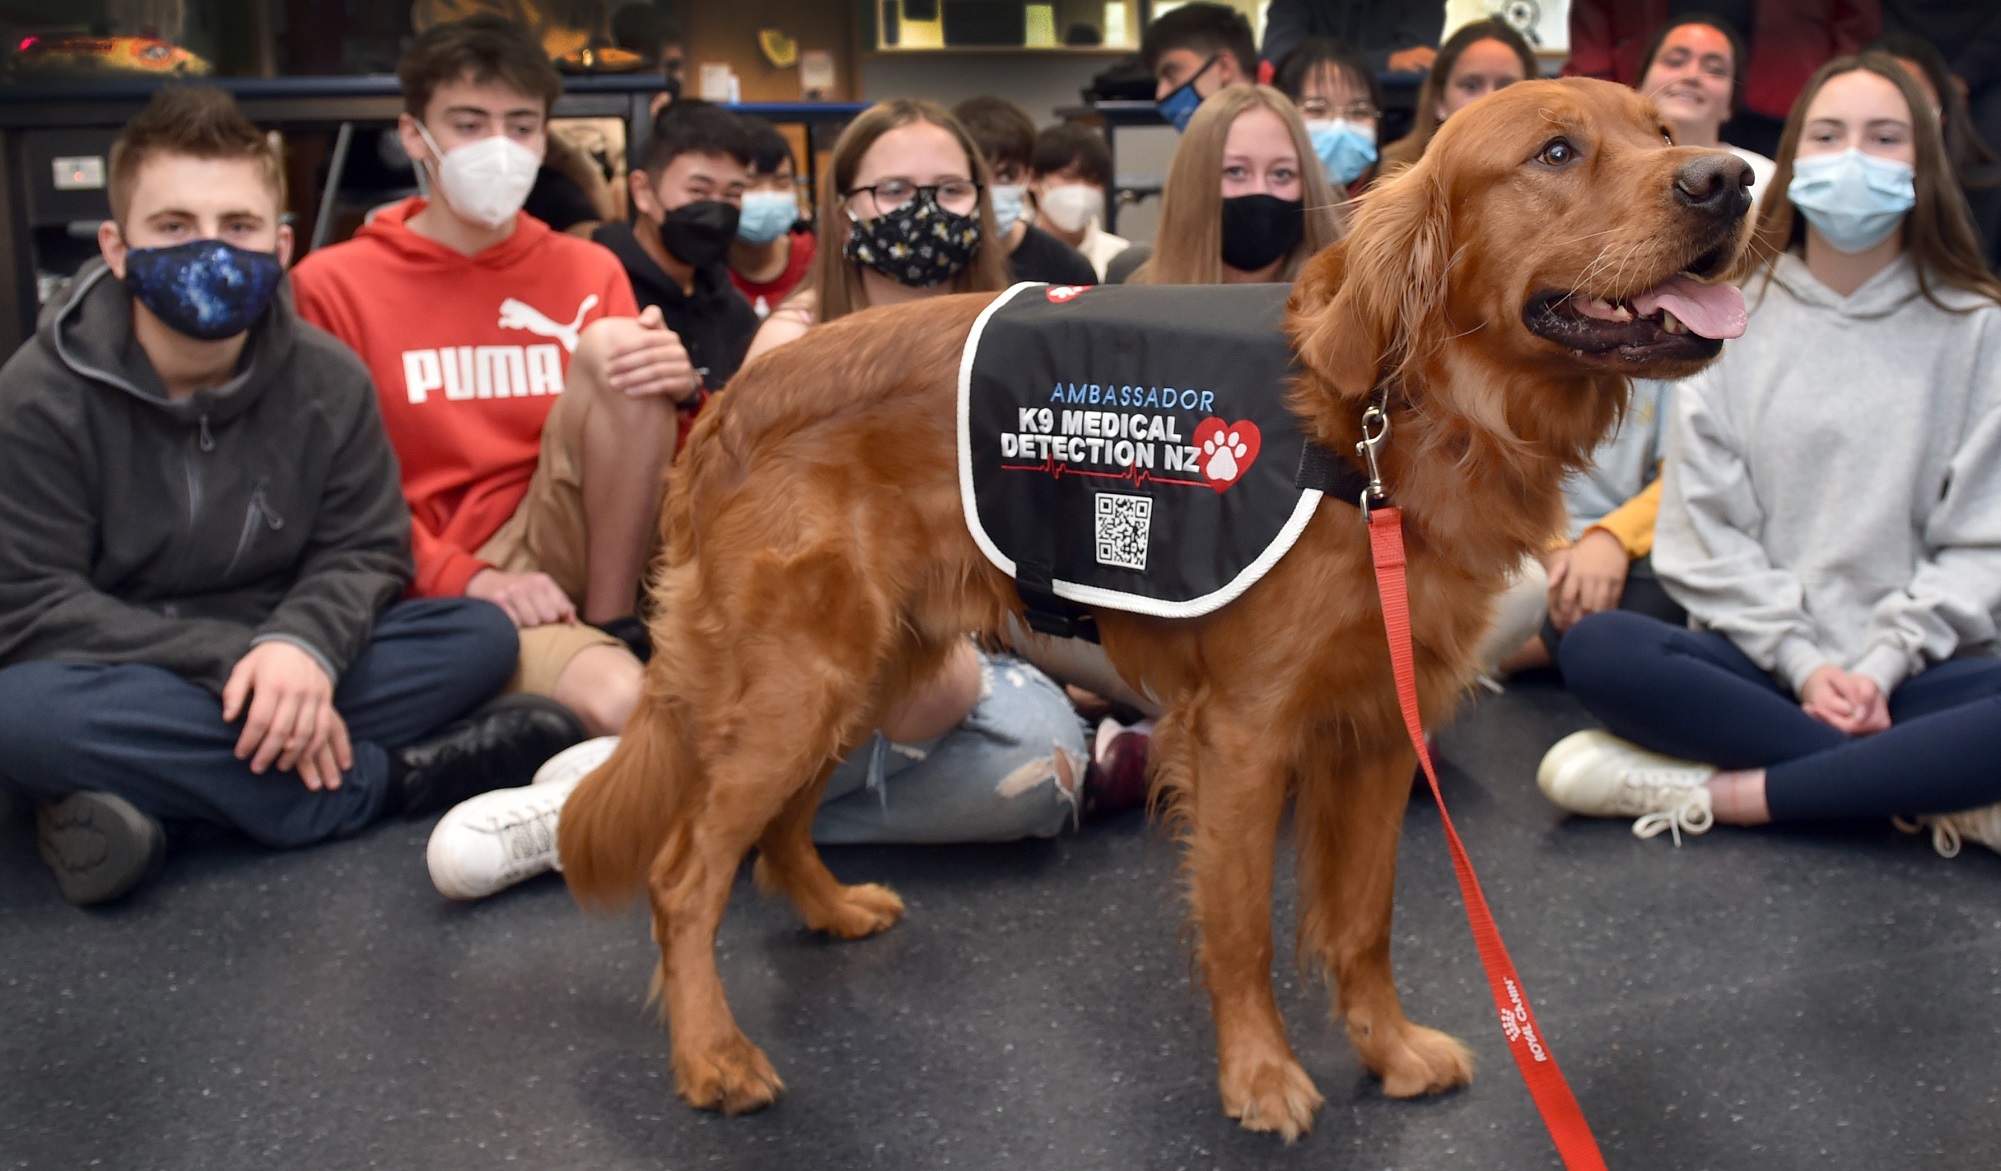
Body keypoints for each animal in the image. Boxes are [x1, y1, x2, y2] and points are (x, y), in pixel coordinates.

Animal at [556, 77, 1744, 1136]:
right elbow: (1245, 928)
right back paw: (711, 1054)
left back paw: (831, 907)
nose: (1730, 178)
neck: (1388, 420)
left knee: (778, 826)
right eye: (1556, 151)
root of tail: (728, 399)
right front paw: (1260, 1075)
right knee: (684, 876)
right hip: (802, 682)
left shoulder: (1375, 727)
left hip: (872, 670)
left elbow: (1362, 920)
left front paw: (1388, 1050)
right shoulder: (1247, 732)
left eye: (1662, 131)